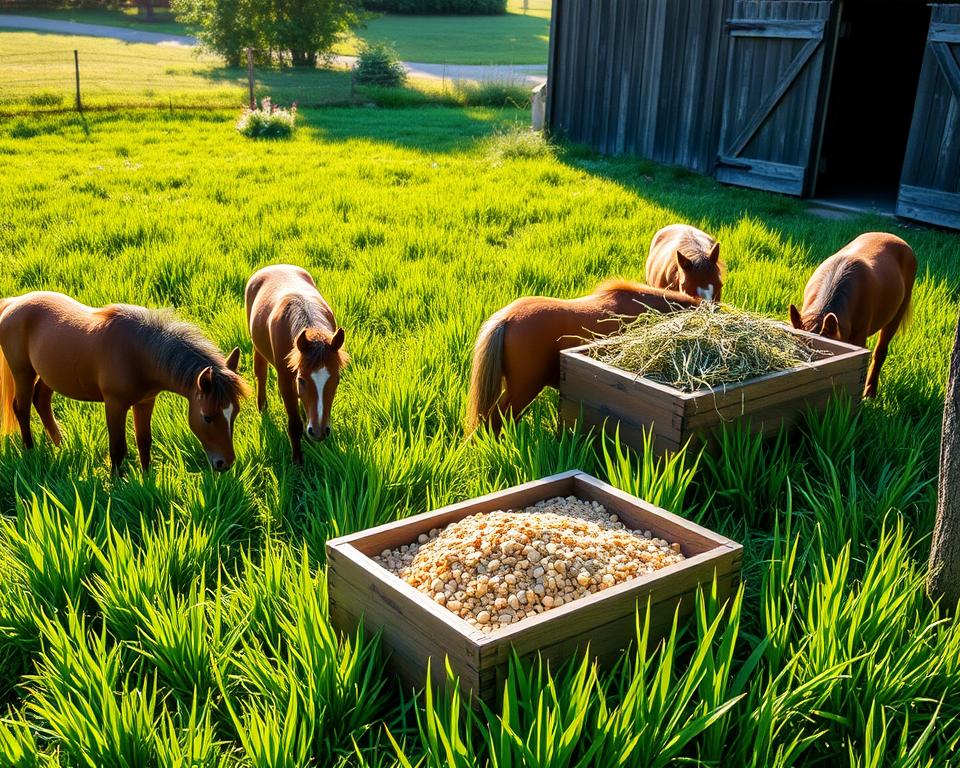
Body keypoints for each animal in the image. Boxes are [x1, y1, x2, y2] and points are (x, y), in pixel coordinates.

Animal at [0, 292, 247, 473]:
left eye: (235, 413)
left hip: (49, 374)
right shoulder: (115, 405)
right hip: (23, 372)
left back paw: (60, 444)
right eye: (207, 417)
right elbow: (118, 448)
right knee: (21, 408)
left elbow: (144, 441)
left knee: (41, 400)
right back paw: (30, 451)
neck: (139, 353)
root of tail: (13, 303)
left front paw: (147, 480)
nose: (225, 464)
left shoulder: (145, 402)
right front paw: (117, 485)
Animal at [245, 265, 348, 465]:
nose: (319, 432)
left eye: (336, 381)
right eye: (302, 380)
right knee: (261, 373)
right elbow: (294, 423)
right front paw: (297, 460)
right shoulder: (286, 381)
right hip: (257, 348)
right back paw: (262, 407)